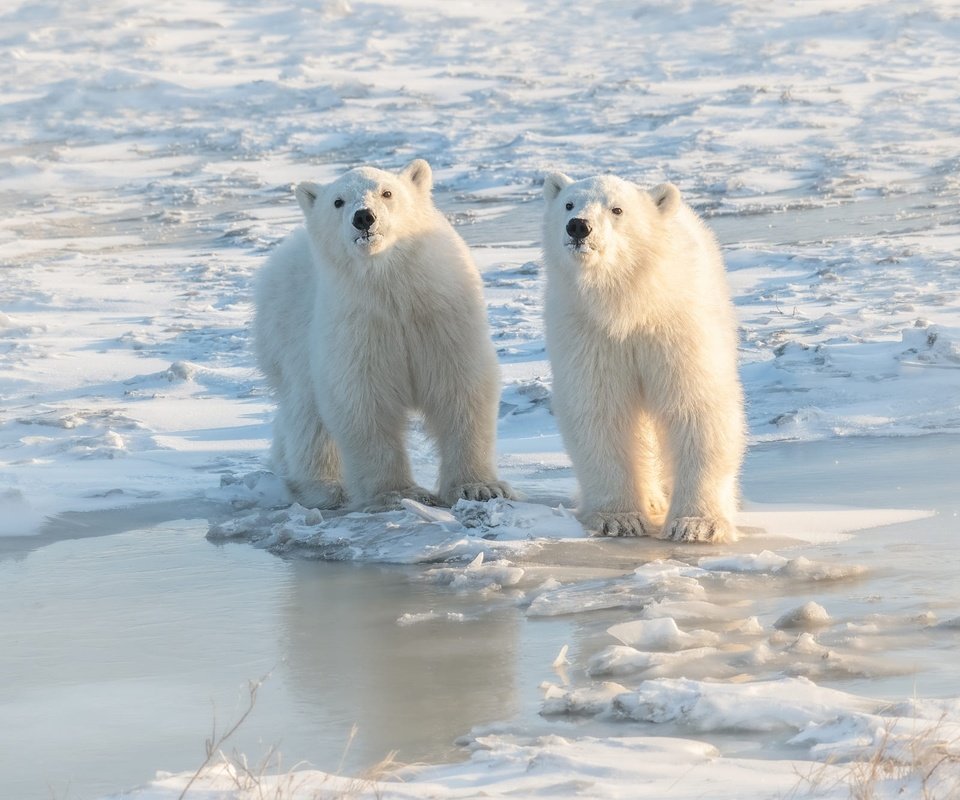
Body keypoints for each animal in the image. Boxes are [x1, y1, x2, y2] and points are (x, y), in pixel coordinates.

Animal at [251, 161, 512, 512]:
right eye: (338, 201)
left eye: (387, 192)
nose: (364, 217)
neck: (392, 287)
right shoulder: (358, 326)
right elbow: (363, 400)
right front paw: (399, 493)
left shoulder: (442, 316)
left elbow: (460, 387)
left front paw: (480, 487)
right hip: (288, 334)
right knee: (306, 412)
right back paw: (323, 488)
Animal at [544, 173, 748, 544]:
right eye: (568, 203)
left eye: (617, 209)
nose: (578, 226)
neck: (630, 304)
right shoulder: (589, 334)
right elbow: (600, 410)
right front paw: (618, 519)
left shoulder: (676, 327)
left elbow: (696, 406)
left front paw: (697, 524)